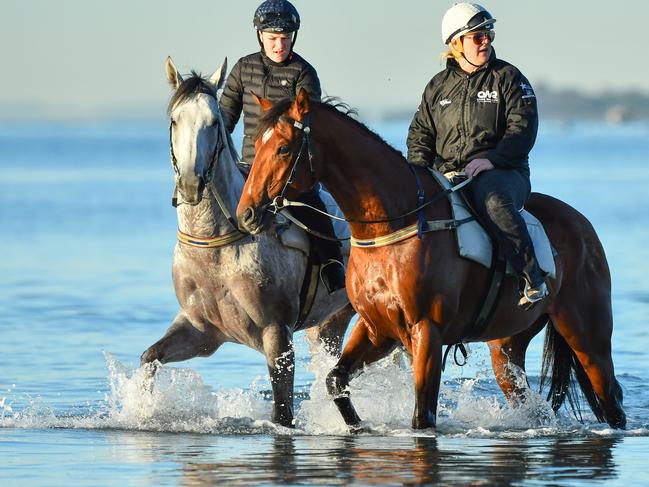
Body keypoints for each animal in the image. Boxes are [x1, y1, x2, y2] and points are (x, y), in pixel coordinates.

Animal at [140, 58, 356, 428]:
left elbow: (282, 412)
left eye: (213, 123)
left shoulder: (276, 334)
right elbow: (148, 358)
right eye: (174, 120)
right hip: (329, 323)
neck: (215, 247)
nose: (191, 185)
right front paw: (139, 411)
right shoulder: (200, 330)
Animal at [235, 89, 624, 432]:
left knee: (609, 397)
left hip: (587, 336)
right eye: (255, 145)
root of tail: (582, 224)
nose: (247, 214)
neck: (392, 224)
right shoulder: (376, 329)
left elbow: (422, 415)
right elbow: (335, 380)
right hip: (507, 346)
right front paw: (358, 426)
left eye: (283, 148)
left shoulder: (426, 331)